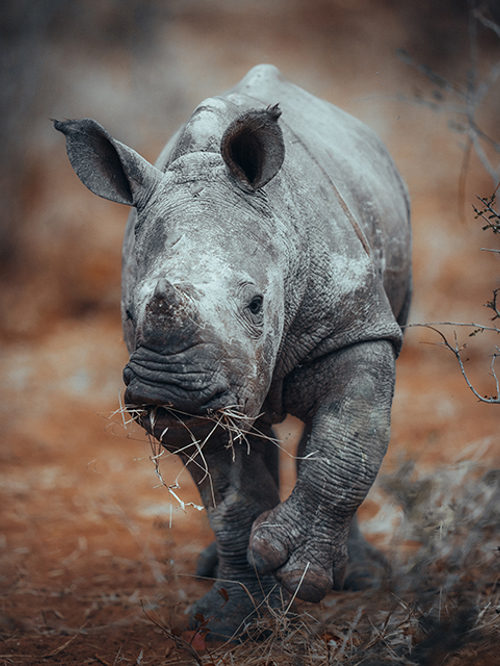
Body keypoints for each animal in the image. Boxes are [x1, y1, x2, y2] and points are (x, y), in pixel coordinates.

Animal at [55, 64, 411, 640]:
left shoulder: (357, 330)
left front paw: (299, 574)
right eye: (129, 313)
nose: (167, 387)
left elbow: (348, 446)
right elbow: (231, 496)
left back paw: (356, 578)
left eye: (256, 303)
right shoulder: (206, 397)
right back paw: (212, 570)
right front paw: (232, 620)